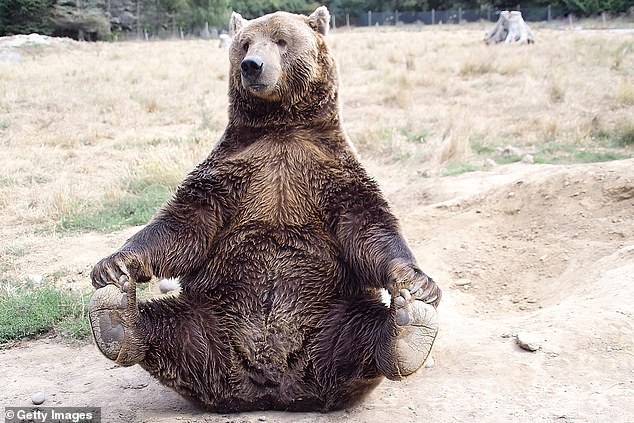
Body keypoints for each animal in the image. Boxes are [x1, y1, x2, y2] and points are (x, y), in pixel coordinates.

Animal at [89, 4, 440, 412]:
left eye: (281, 40)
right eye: (244, 44)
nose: (252, 65)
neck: (281, 126)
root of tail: (270, 387)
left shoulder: (328, 171)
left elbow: (368, 226)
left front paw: (418, 282)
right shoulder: (233, 173)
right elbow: (183, 225)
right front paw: (112, 264)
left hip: (331, 319)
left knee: (362, 335)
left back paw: (408, 328)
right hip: (211, 318)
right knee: (173, 329)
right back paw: (116, 315)